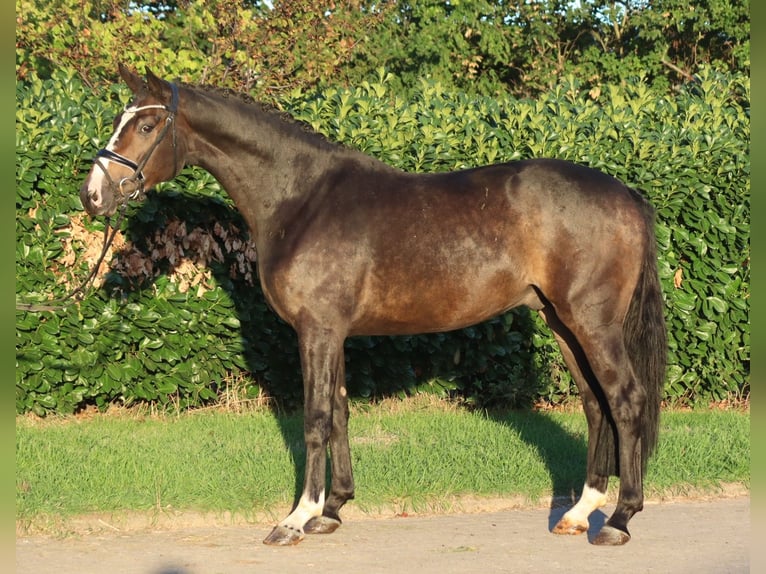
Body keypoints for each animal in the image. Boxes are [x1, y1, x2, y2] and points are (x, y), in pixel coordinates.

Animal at [80, 65, 666, 547]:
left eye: (146, 126)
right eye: (119, 119)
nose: (92, 196)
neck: (301, 198)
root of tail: (627, 196)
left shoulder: (316, 329)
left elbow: (316, 417)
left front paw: (296, 519)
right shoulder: (332, 331)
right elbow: (339, 411)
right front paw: (333, 510)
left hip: (591, 323)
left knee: (627, 399)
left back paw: (619, 520)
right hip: (561, 322)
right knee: (595, 404)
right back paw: (580, 512)